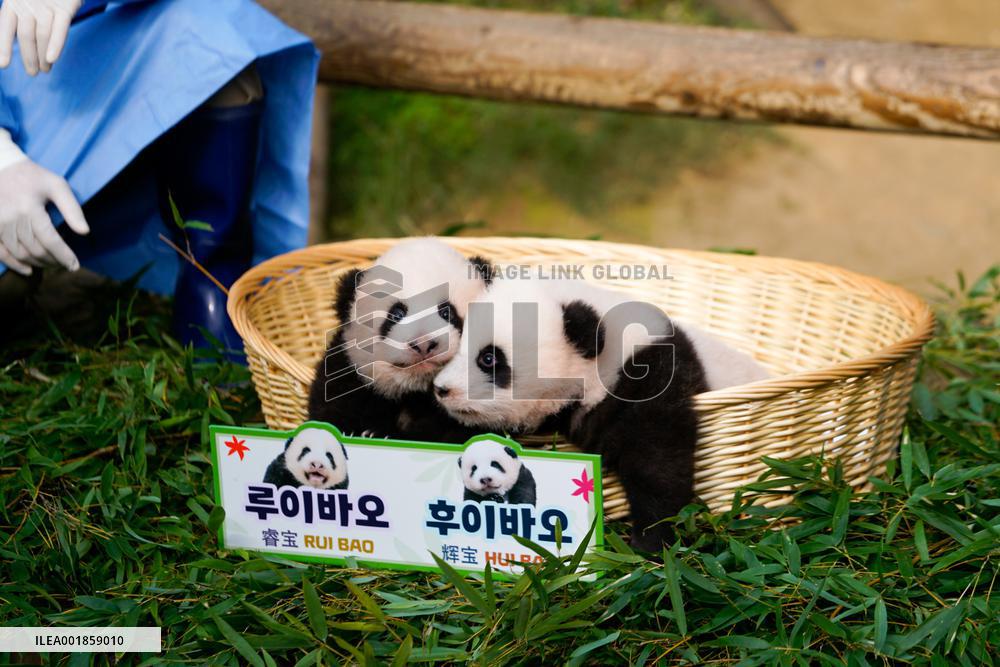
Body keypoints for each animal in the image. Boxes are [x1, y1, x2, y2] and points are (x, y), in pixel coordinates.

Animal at [307, 237, 493, 442]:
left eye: (447, 313)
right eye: (396, 314)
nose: (423, 344)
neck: (414, 392)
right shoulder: (346, 372)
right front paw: (369, 433)